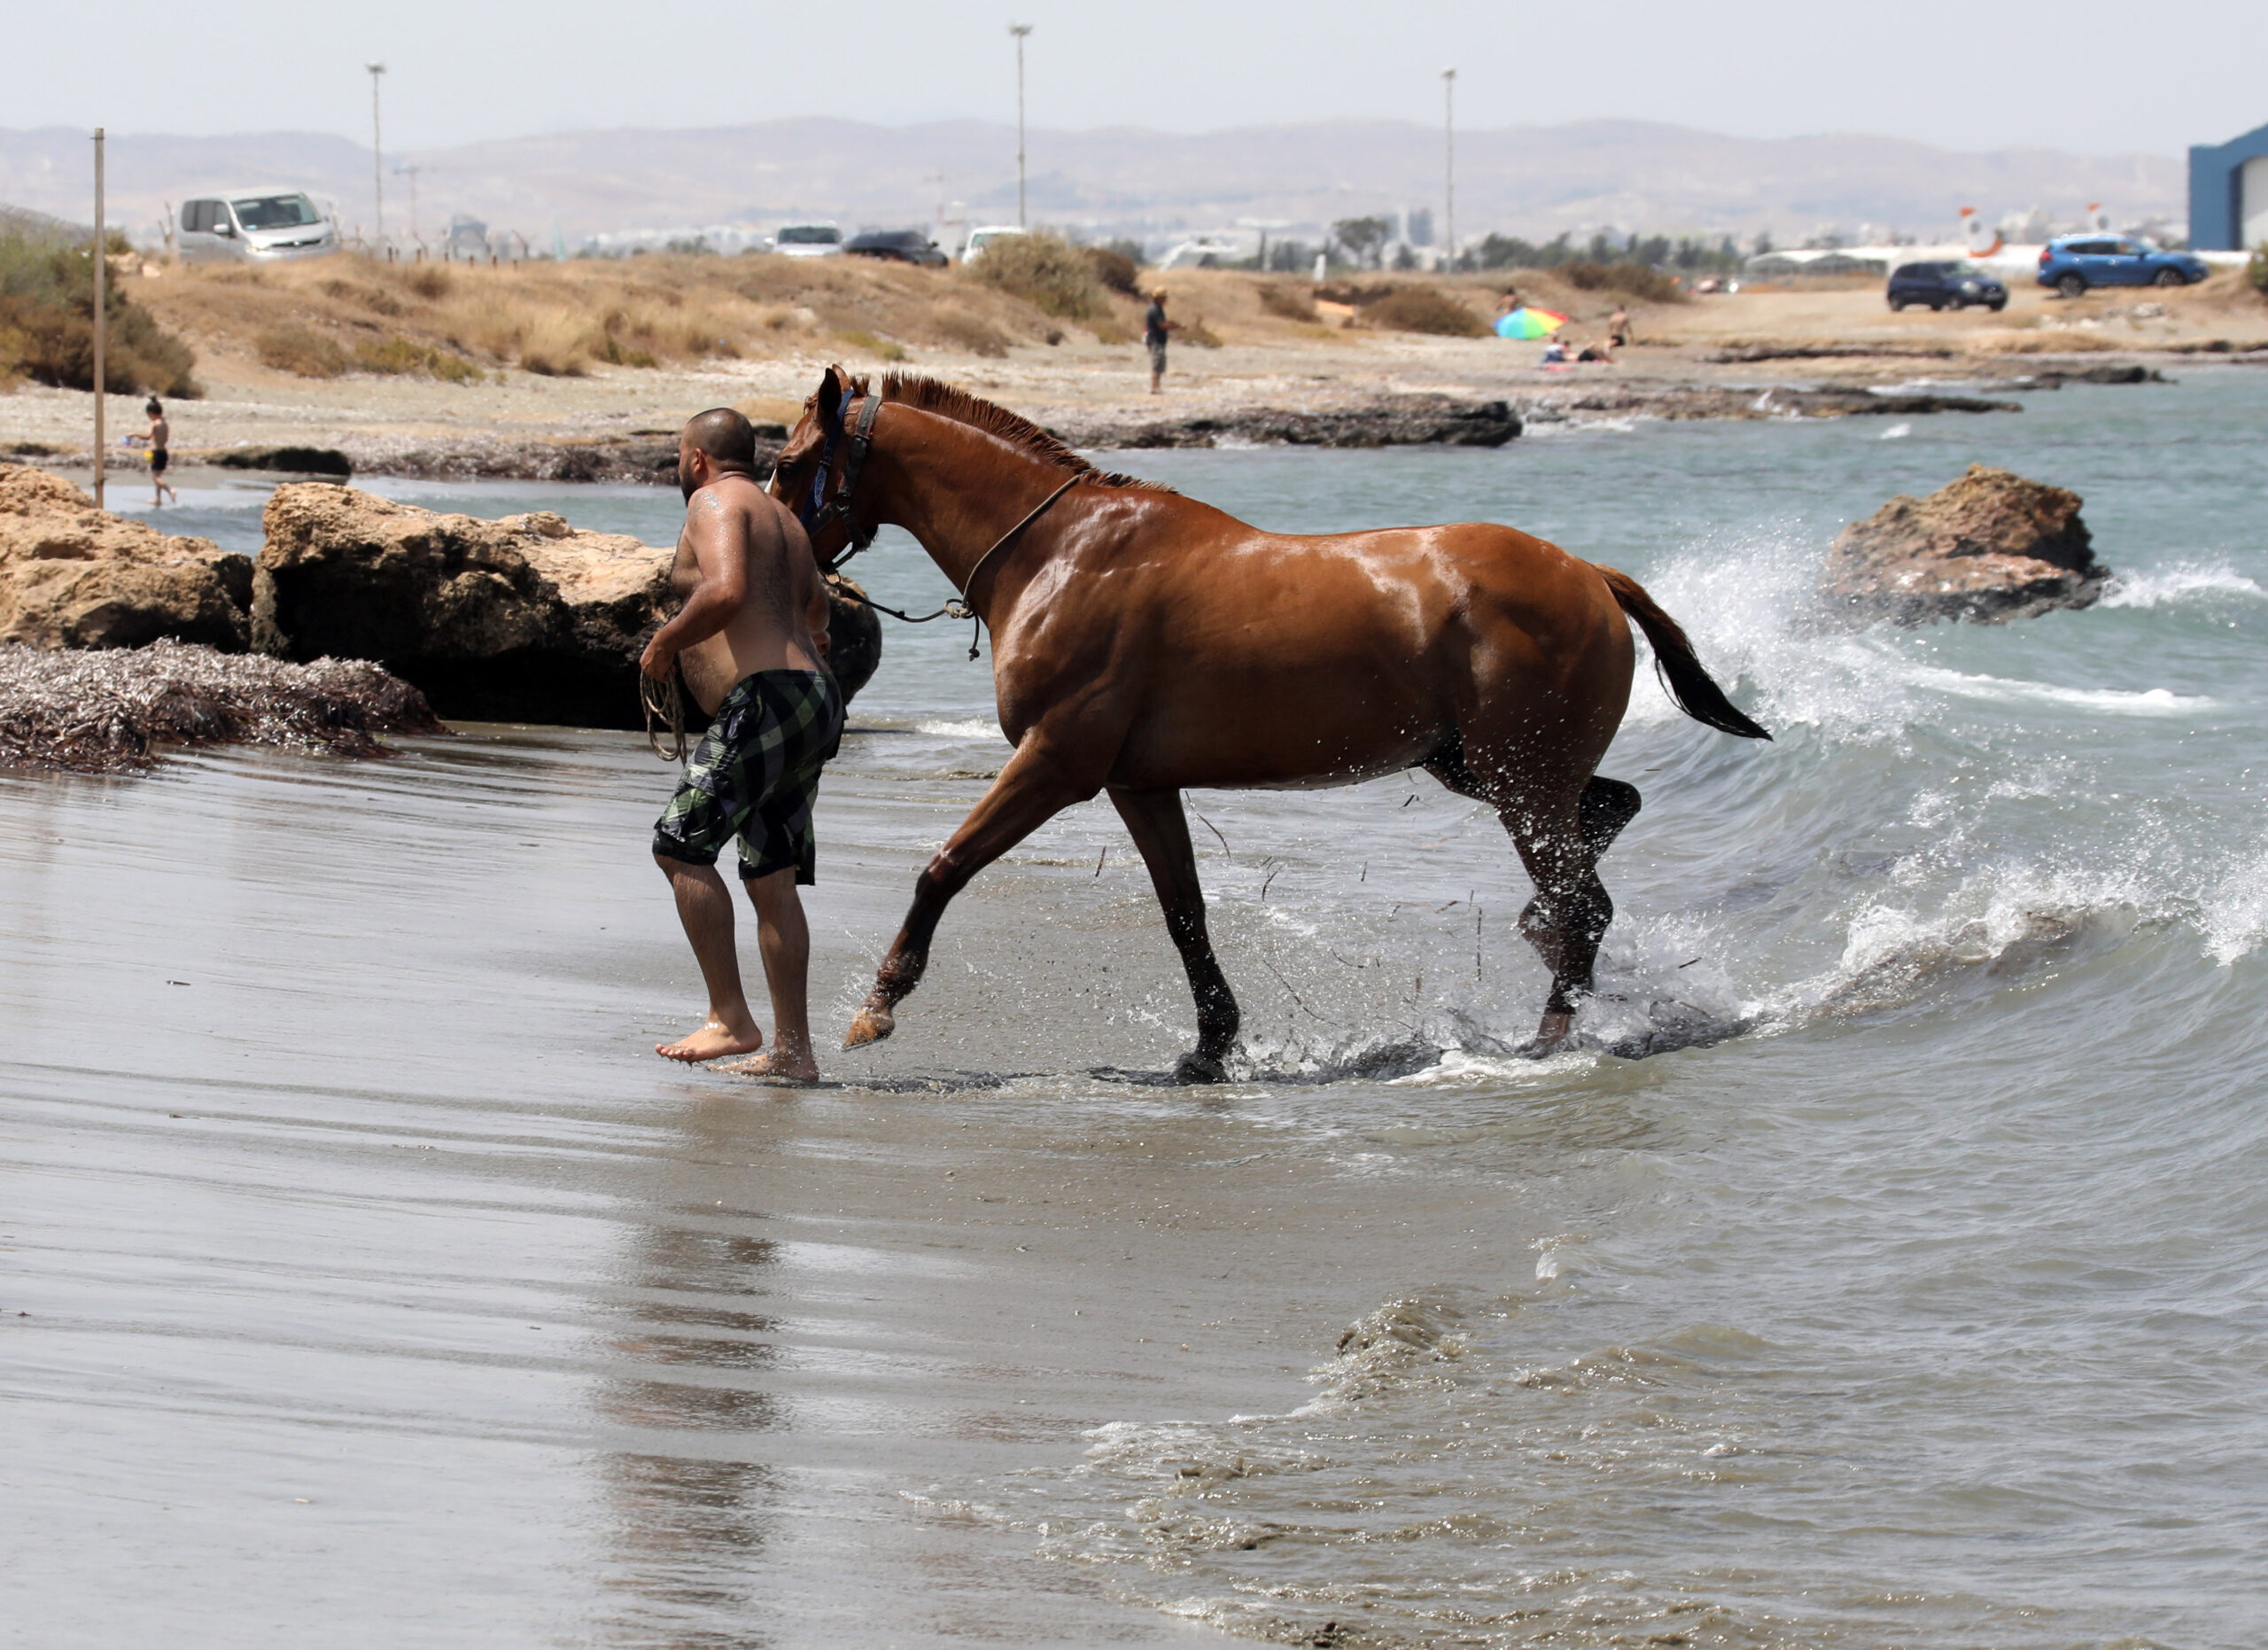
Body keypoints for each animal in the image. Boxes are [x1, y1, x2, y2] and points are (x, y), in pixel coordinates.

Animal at [771, 365, 1759, 1076]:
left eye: (787, 463)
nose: (780, 552)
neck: (1057, 554)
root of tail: (1590, 574)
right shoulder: (1138, 783)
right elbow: (1185, 914)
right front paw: (1211, 1045)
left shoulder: (1057, 764)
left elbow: (943, 867)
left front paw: (878, 1005)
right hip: (1484, 768)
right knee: (1605, 822)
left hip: (1521, 779)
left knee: (1582, 899)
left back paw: (1550, 1034)